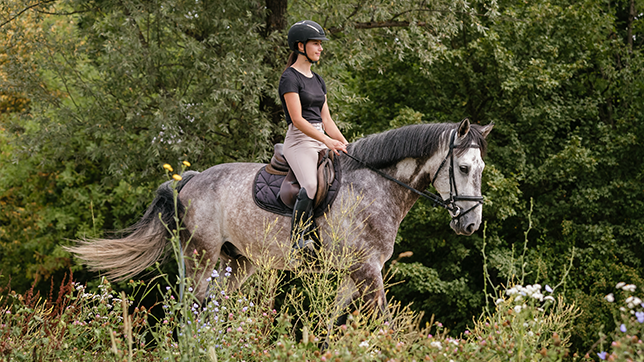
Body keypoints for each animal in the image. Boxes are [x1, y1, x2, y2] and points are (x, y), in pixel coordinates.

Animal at [68, 119, 494, 316]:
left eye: (481, 168)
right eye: (464, 168)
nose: (470, 224)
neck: (377, 184)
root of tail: (189, 180)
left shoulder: (350, 274)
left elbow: (330, 322)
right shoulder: (367, 269)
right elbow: (383, 320)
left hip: (238, 262)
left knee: (215, 306)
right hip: (200, 255)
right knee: (192, 304)